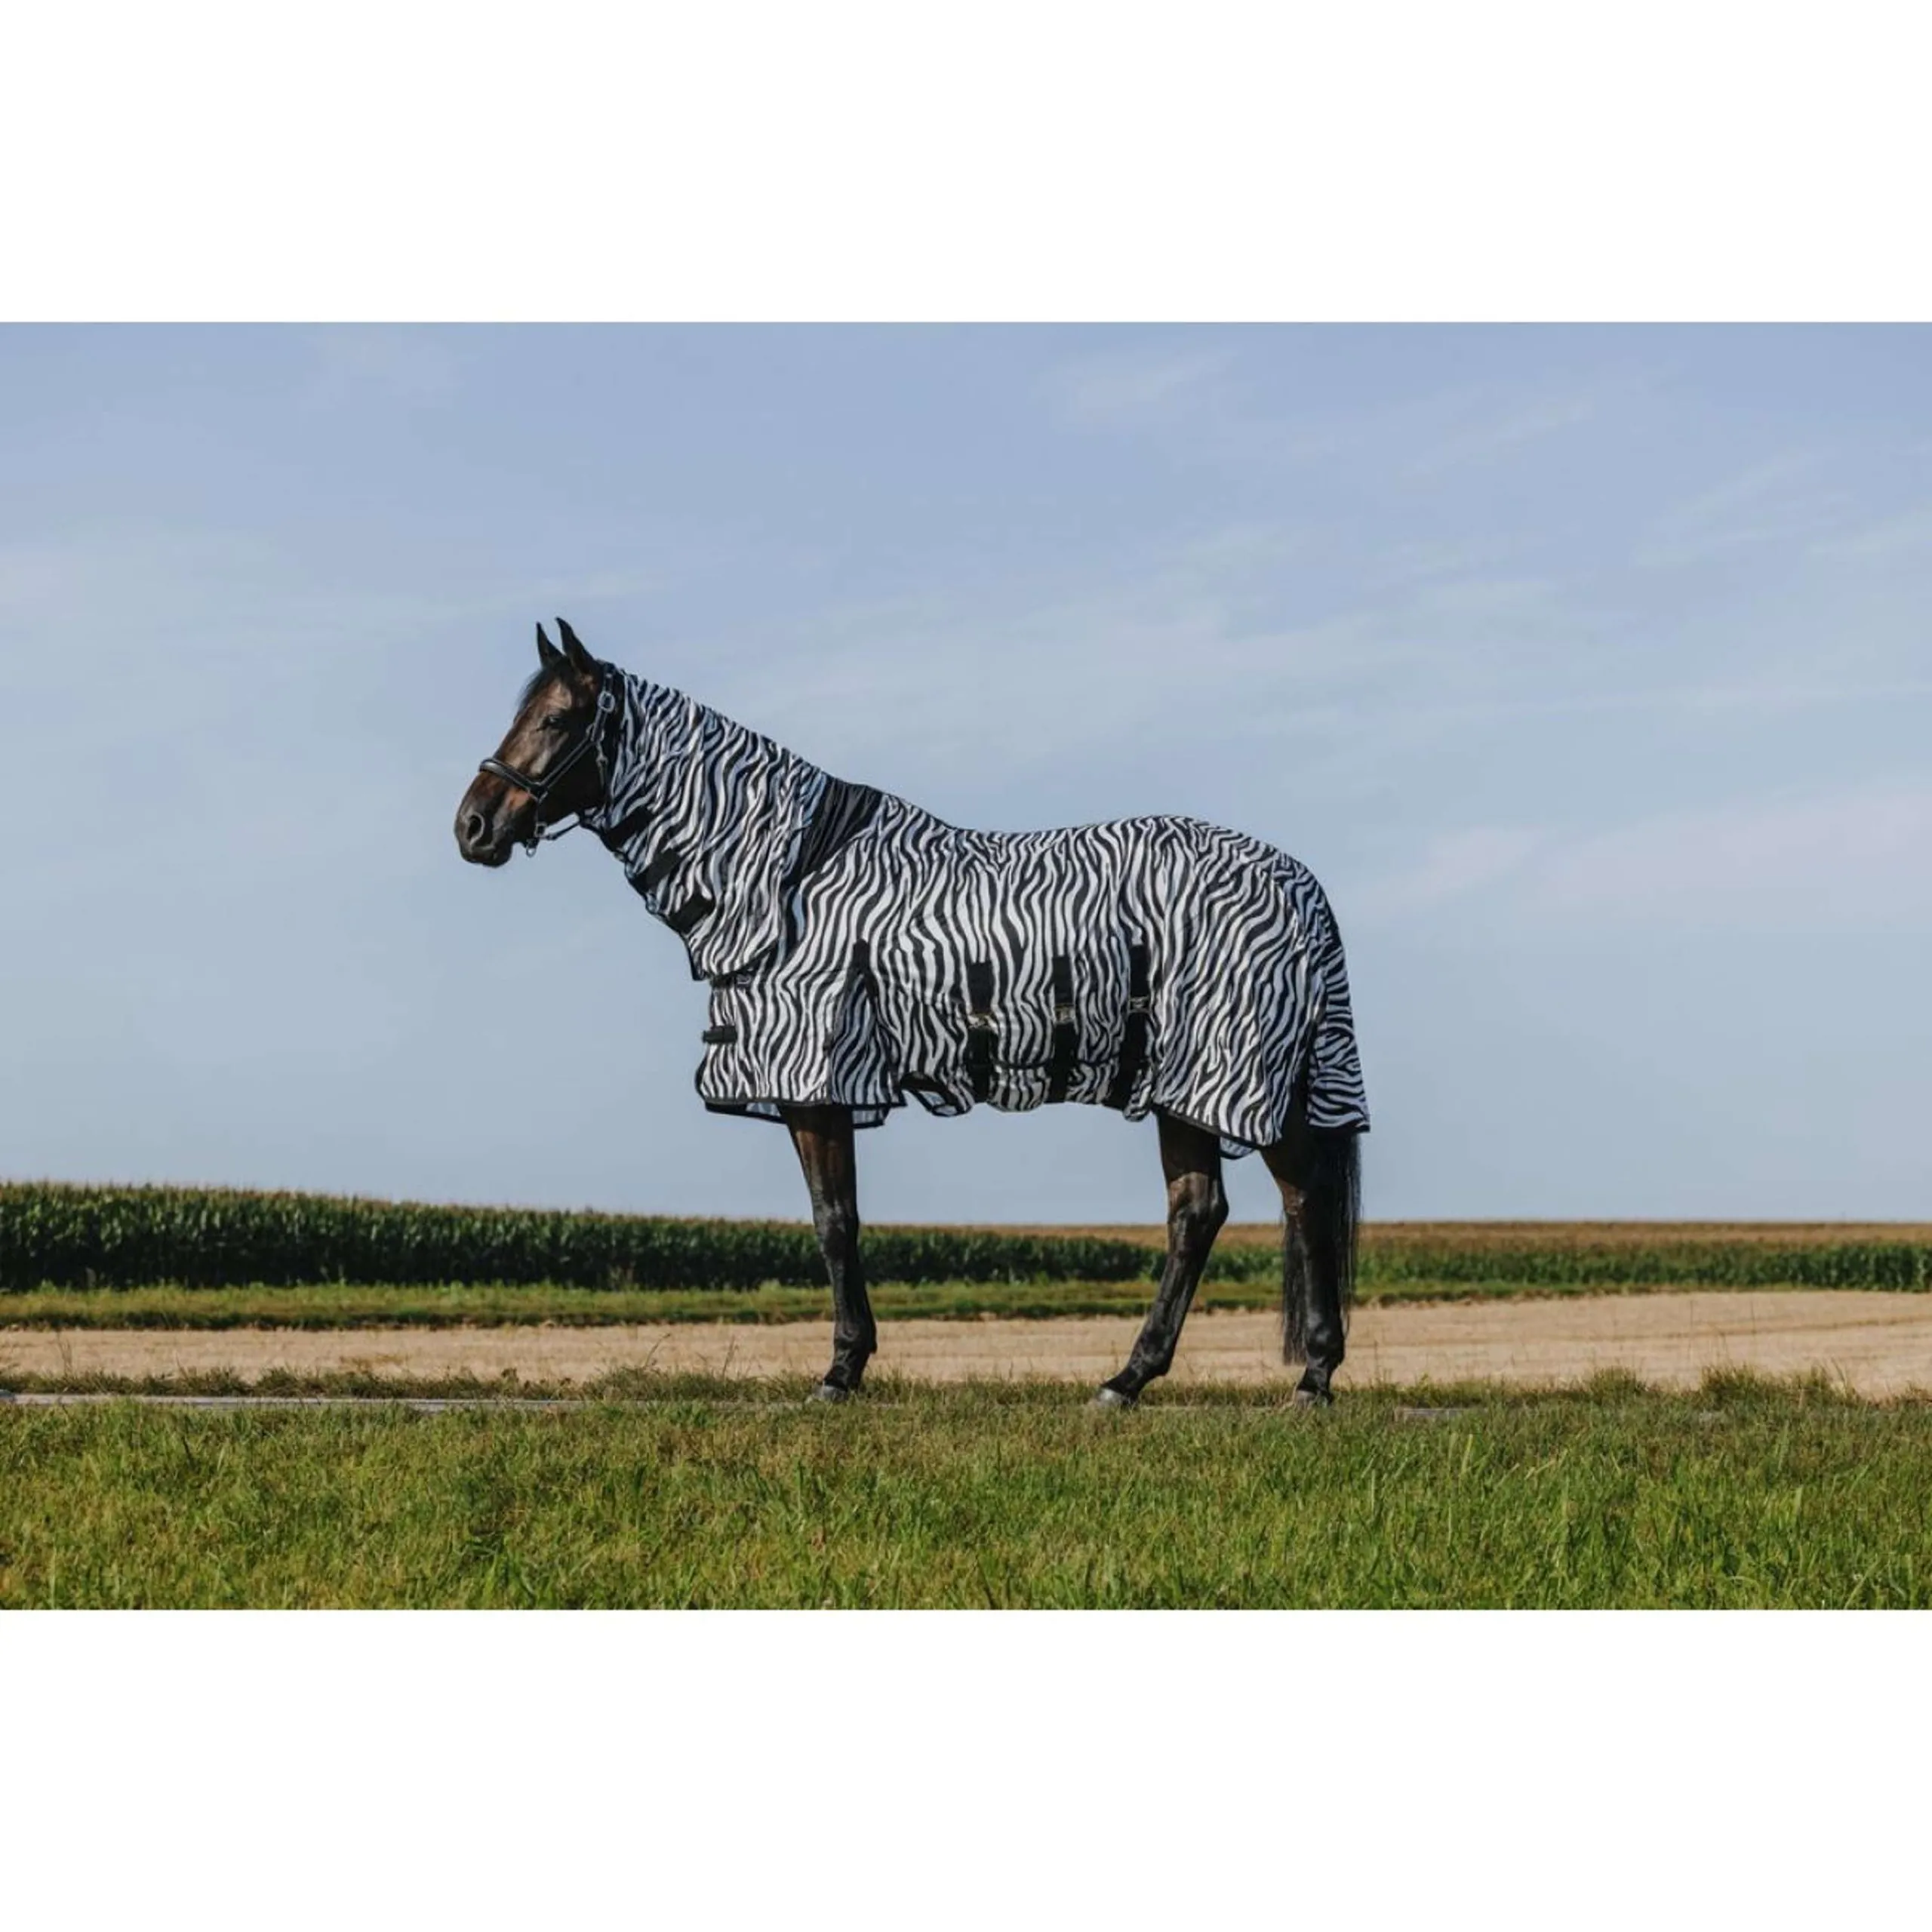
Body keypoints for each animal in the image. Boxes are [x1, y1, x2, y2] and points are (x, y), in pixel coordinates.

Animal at [455, 620, 1369, 1408]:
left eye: (556, 717)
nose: (473, 826)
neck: (788, 877)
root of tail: (1300, 882)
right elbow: (840, 1219)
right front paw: (849, 1363)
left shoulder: (818, 1082)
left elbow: (835, 1223)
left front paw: (840, 1371)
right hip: (1187, 1086)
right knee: (1203, 1212)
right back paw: (1137, 1379)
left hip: (1228, 1074)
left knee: (1295, 1201)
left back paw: (1304, 1378)